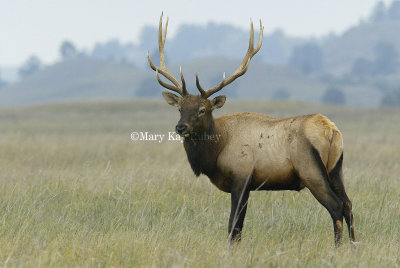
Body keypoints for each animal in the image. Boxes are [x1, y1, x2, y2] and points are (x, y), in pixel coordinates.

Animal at [147, 13, 356, 246]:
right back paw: (353, 246)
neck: (217, 151)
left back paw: (337, 247)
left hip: (311, 171)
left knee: (336, 206)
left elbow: (234, 226)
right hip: (336, 169)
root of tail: (331, 130)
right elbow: (238, 227)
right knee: (348, 204)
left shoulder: (241, 178)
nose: (181, 127)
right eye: (180, 108)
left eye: (202, 109)